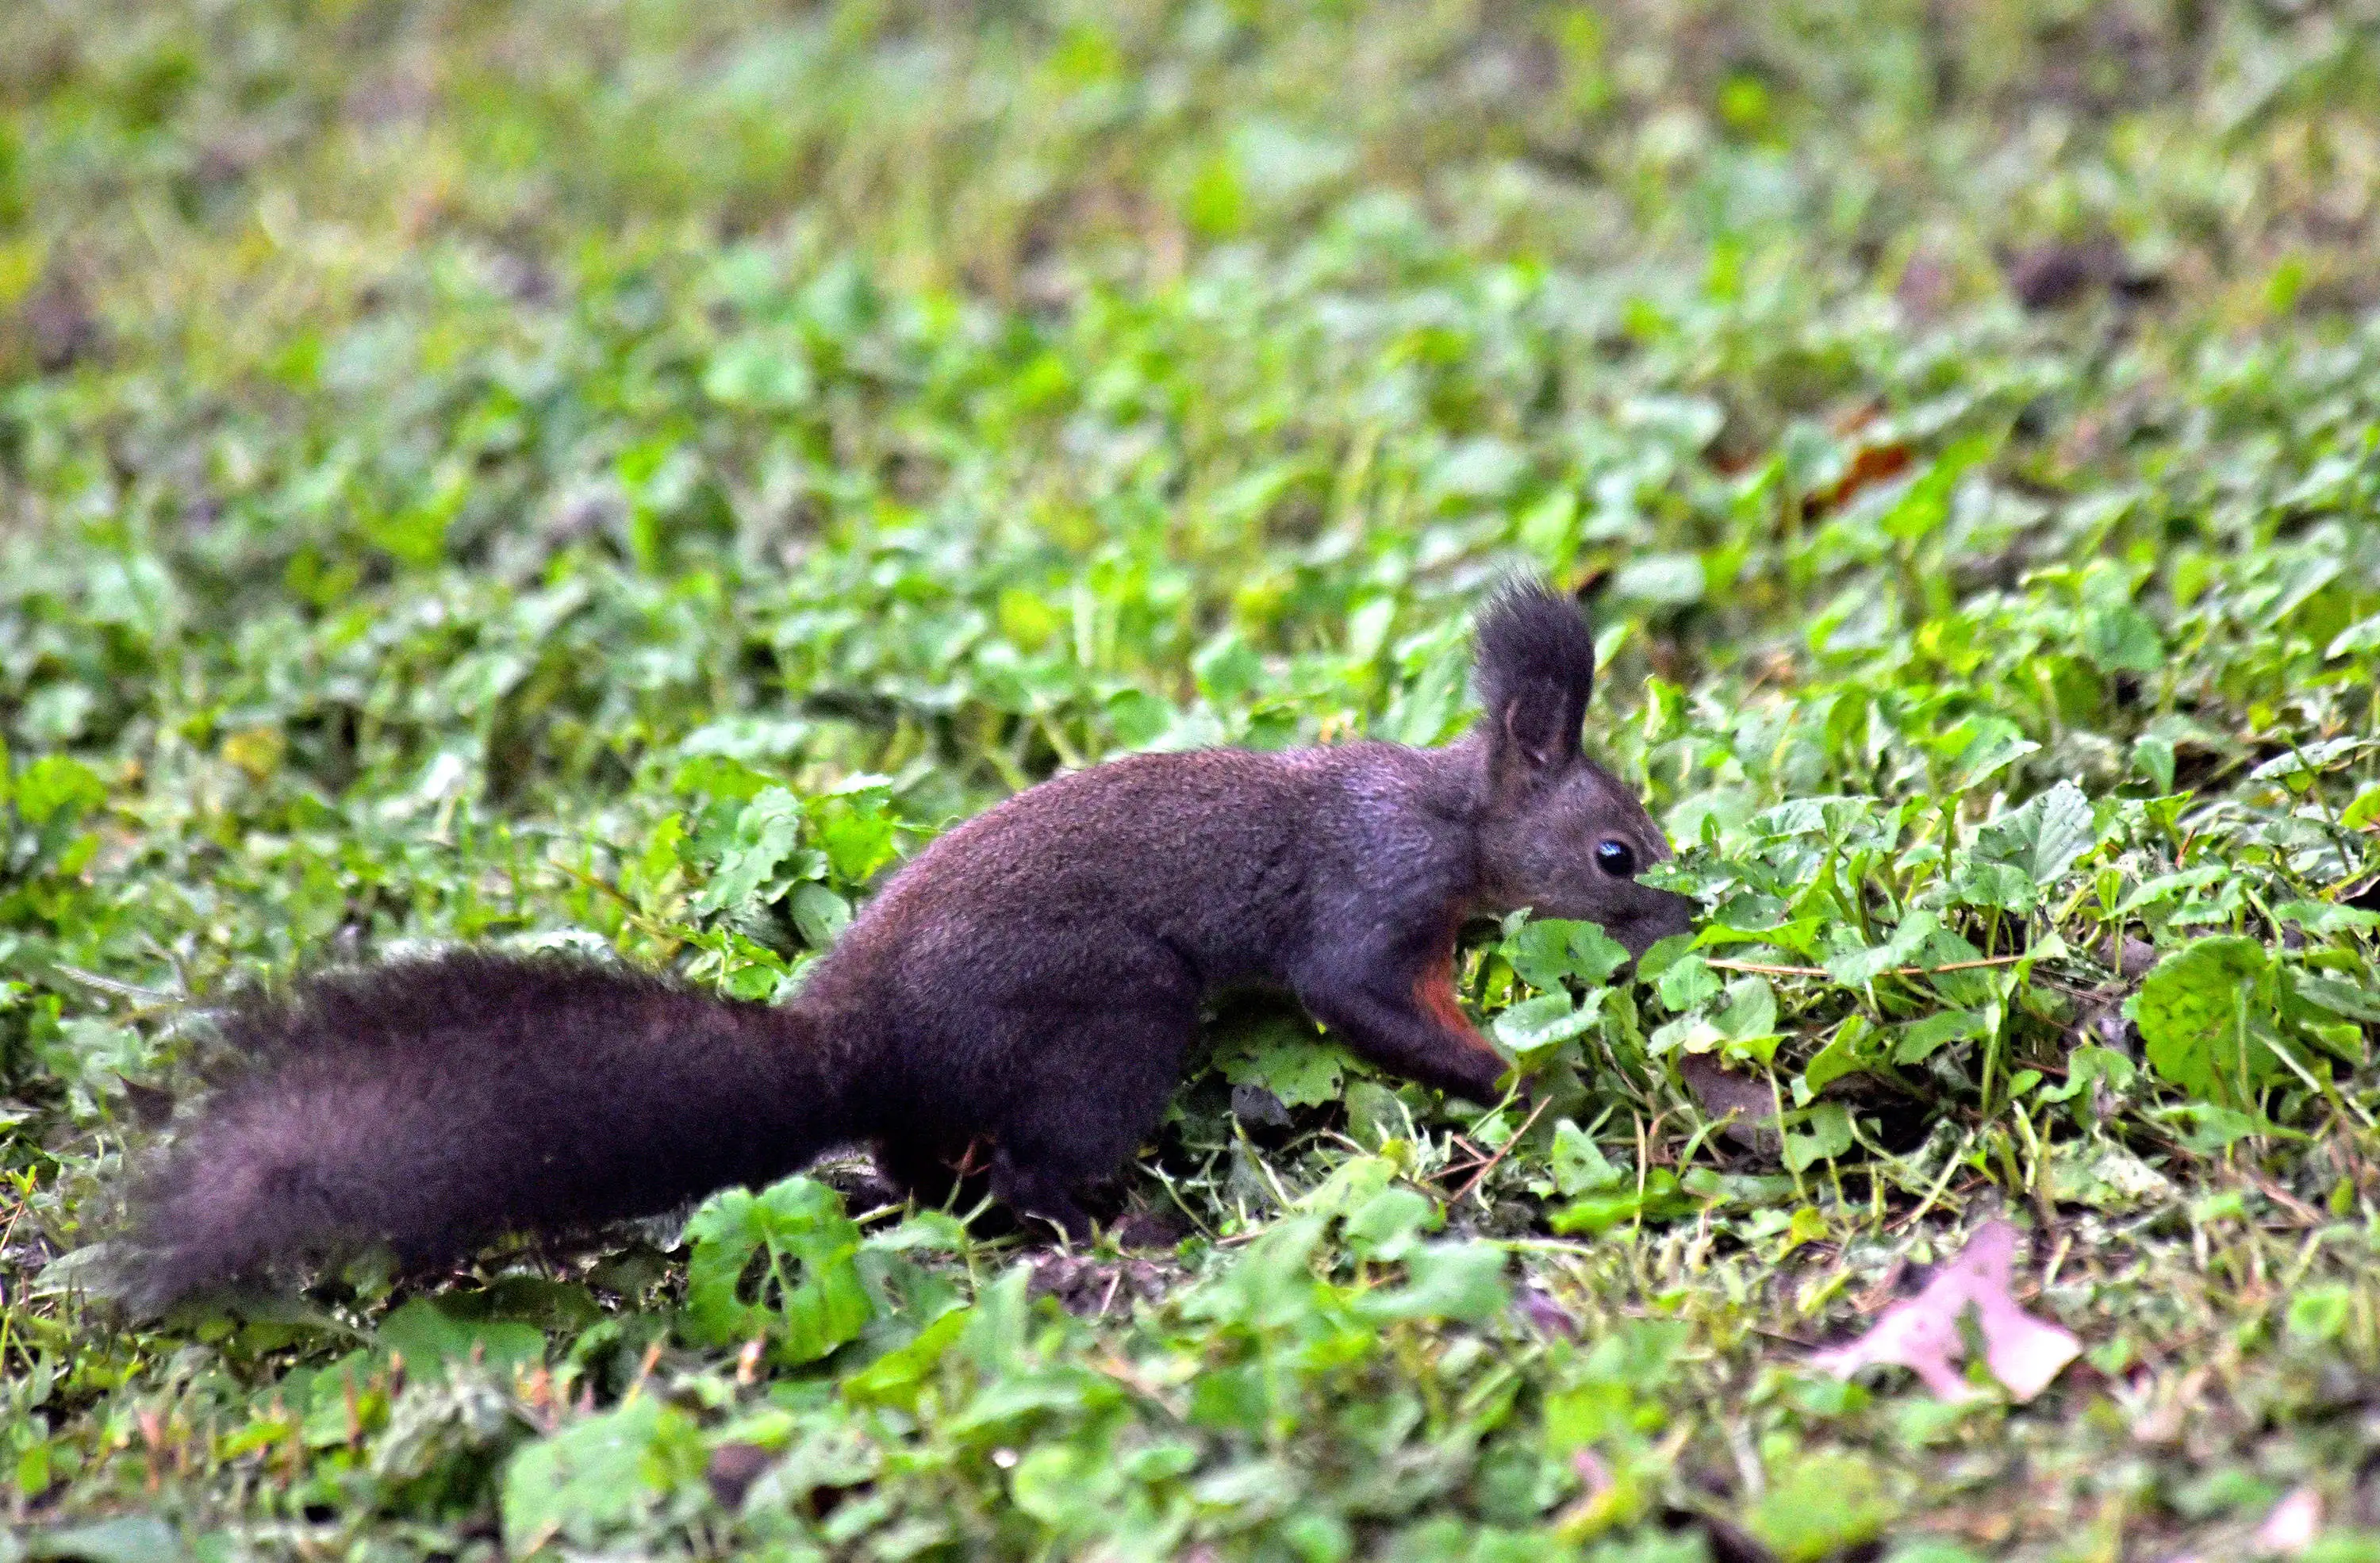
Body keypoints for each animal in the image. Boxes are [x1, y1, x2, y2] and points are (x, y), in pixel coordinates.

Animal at [112, 578, 1695, 1313]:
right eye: (1616, 852)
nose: (1687, 912)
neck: (1449, 813)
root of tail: (861, 1043)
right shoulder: (1364, 906)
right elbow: (1368, 1005)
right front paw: (1524, 1079)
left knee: (931, 1167)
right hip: (1114, 1015)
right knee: (1035, 1174)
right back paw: (1126, 1230)